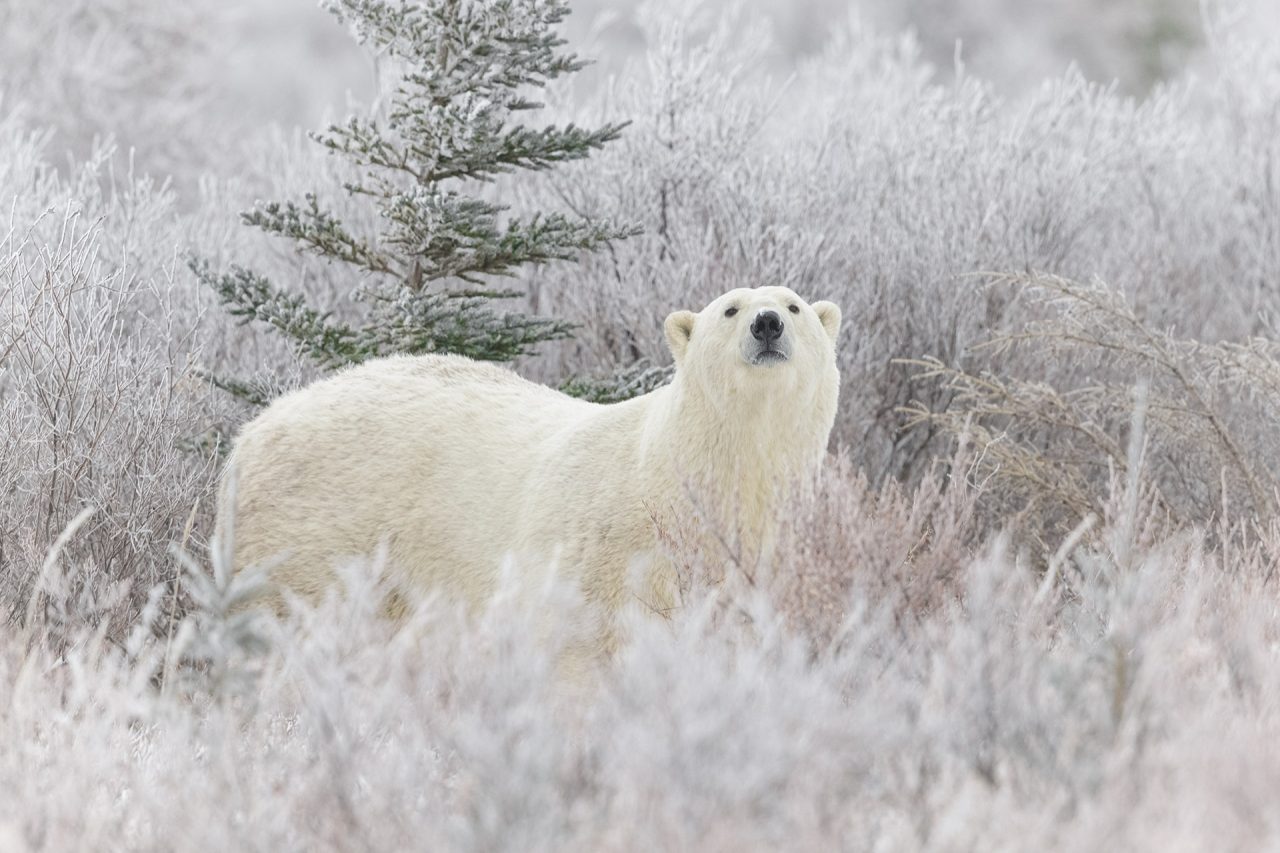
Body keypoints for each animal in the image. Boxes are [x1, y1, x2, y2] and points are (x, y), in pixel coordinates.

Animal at [216, 285, 844, 650]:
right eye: (730, 309)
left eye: (793, 306)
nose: (767, 324)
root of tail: (253, 432)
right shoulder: (600, 558)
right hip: (316, 533)